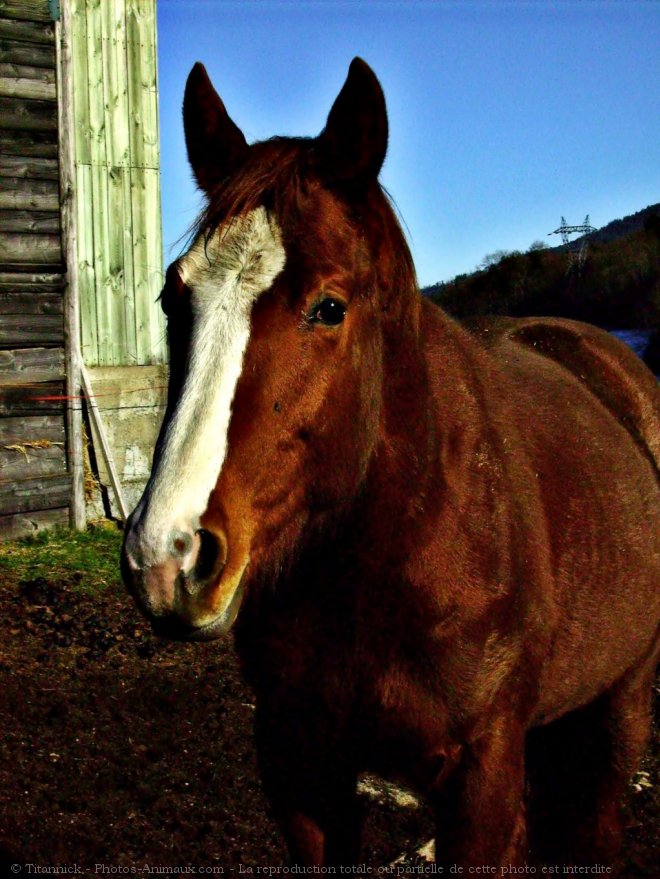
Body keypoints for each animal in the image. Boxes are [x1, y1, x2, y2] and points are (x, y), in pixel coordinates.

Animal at [121, 56, 656, 872]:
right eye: (170, 299)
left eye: (329, 307)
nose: (167, 557)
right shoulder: (299, 766)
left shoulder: (481, 780)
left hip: (619, 707)